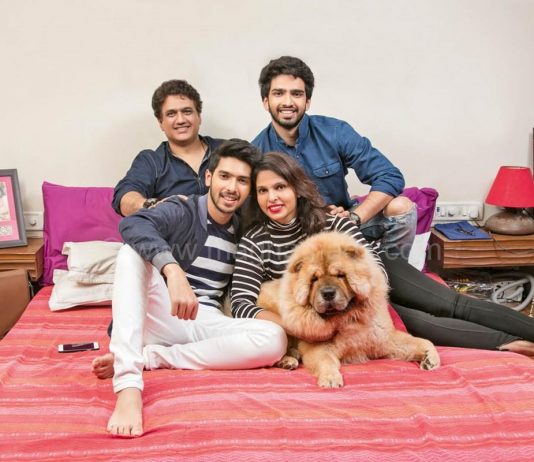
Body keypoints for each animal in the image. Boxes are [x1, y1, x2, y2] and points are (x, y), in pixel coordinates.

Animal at [257, 231, 440, 388]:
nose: (328, 293)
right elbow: (327, 362)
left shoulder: (385, 340)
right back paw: (288, 360)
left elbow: (423, 341)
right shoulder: (318, 349)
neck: (347, 317)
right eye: (314, 279)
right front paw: (330, 379)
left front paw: (430, 358)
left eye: (340, 275)